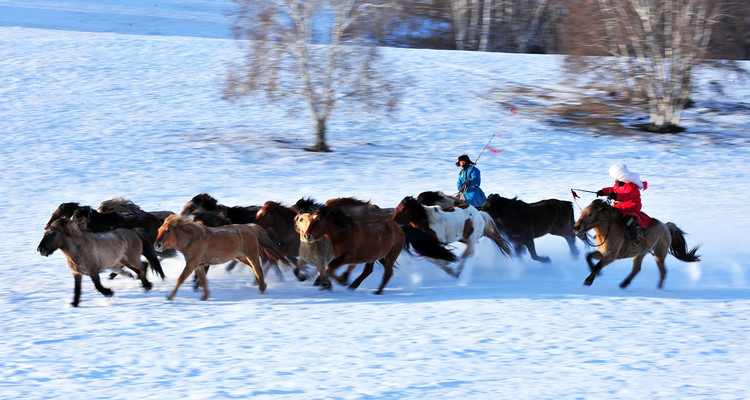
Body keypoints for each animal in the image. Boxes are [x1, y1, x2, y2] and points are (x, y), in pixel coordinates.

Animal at [154, 216, 290, 300]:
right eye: (159, 230)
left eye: (168, 231)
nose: (157, 245)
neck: (192, 239)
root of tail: (249, 227)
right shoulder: (198, 265)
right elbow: (203, 280)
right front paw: (205, 296)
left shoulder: (192, 263)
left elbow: (180, 279)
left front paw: (170, 296)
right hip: (240, 257)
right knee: (255, 269)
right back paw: (262, 285)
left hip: (251, 255)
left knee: (258, 270)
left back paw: (262, 289)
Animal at [576, 199, 704, 288]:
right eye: (582, 212)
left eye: (590, 214)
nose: (576, 228)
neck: (609, 228)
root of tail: (666, 226)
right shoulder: (603, 252)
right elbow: (588, 257)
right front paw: (595, 274)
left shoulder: (611, 255)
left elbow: (598, 265)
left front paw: (588, 280)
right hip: (640, 253)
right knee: (637, 269)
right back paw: (624, 283)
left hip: (659, 253)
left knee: (662, 271)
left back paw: (658, 288)